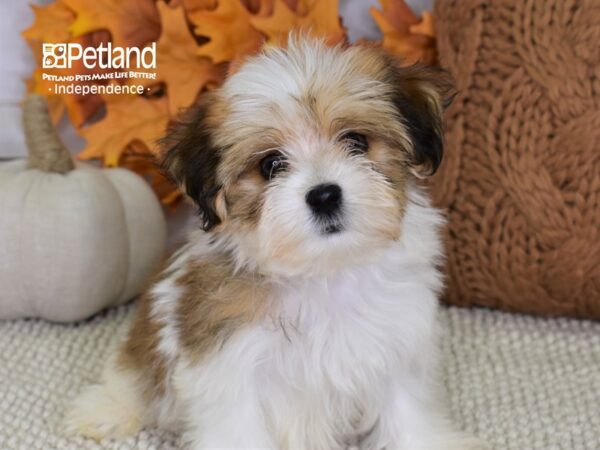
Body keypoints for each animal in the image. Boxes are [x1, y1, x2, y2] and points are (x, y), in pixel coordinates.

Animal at [67, 39, 488, 450]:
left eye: (356, 141)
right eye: (270, 165)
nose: (324, 196)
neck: (323, 273)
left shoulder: (396, 340)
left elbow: (407, 410)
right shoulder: (229, 368)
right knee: (134, 378)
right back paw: (105, 410)